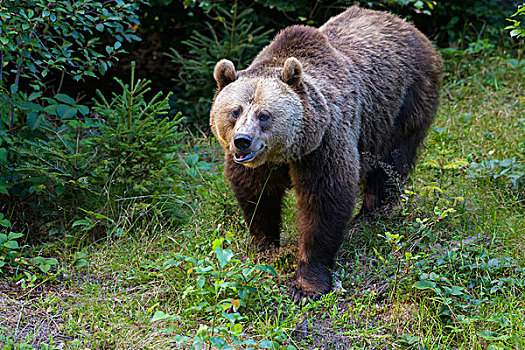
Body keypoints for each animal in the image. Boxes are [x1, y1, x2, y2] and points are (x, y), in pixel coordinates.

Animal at [209, 5, 442, 302]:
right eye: (235, 111)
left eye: (264, 114)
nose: (242, 141)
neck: (286, 152)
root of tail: (405, 24)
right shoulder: (259, 166)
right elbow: (257, 197)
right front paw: (265, 249)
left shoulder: (324, 143)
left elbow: (324, 202)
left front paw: (306, 285)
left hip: (403, 101)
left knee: (391, 163)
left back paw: (368, 216)